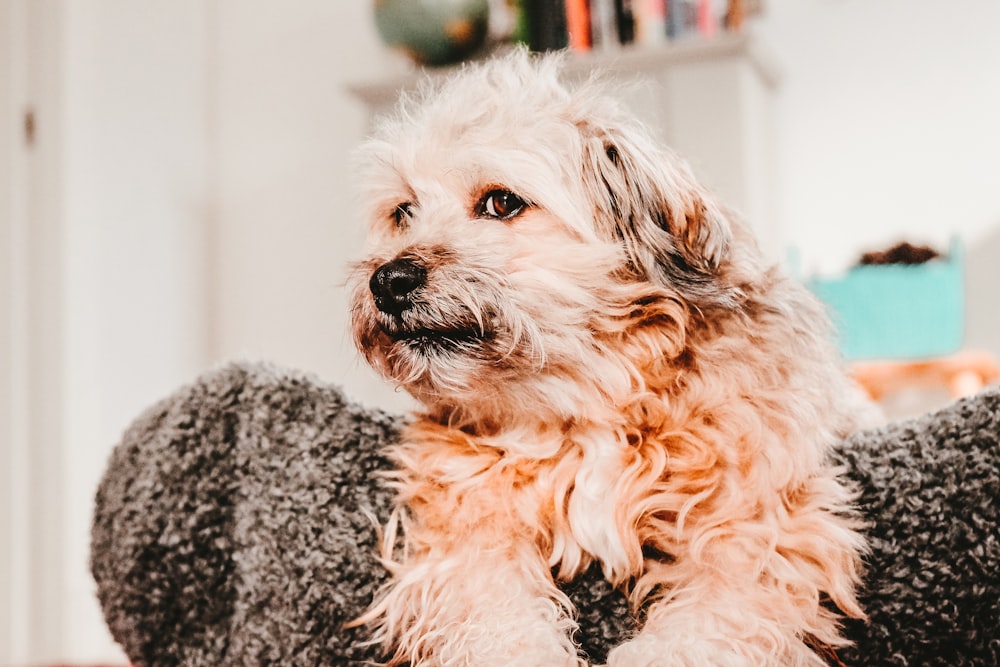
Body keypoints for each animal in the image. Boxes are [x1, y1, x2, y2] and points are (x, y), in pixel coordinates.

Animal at [350, 49, 868, 664]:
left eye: (502, 202)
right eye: (403, 211)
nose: (388, 280)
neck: (588, 400)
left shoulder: (756, 536)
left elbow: (703, 629)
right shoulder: (469, 533)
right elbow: (496, 621)